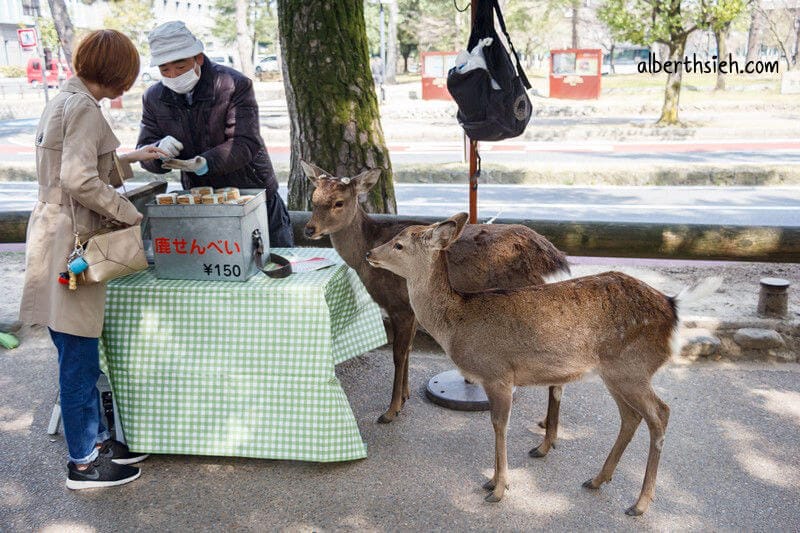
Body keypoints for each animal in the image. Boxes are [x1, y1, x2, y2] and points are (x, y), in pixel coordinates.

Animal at [301, 161, 568, 455]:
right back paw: (545, 426)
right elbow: (407, 350)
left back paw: (545, 443)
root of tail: (557, 262)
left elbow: (398, 354)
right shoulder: (413, 312)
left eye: (339, 202)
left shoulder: (400, 306)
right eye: (313, 198)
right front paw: (405, 396)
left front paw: (390, 411)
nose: (309, 229)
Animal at [366, 212, 722, 515]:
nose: (370, 252)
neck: (456, 325)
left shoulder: (498, 373)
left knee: (660, 413)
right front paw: (492, 481)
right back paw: (597, 479)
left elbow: (499, 426)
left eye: (399, 244)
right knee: (631, 416)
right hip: (615, 372)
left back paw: (640, 503)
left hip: (632, 367)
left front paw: (498, 489)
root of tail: (673, 306)